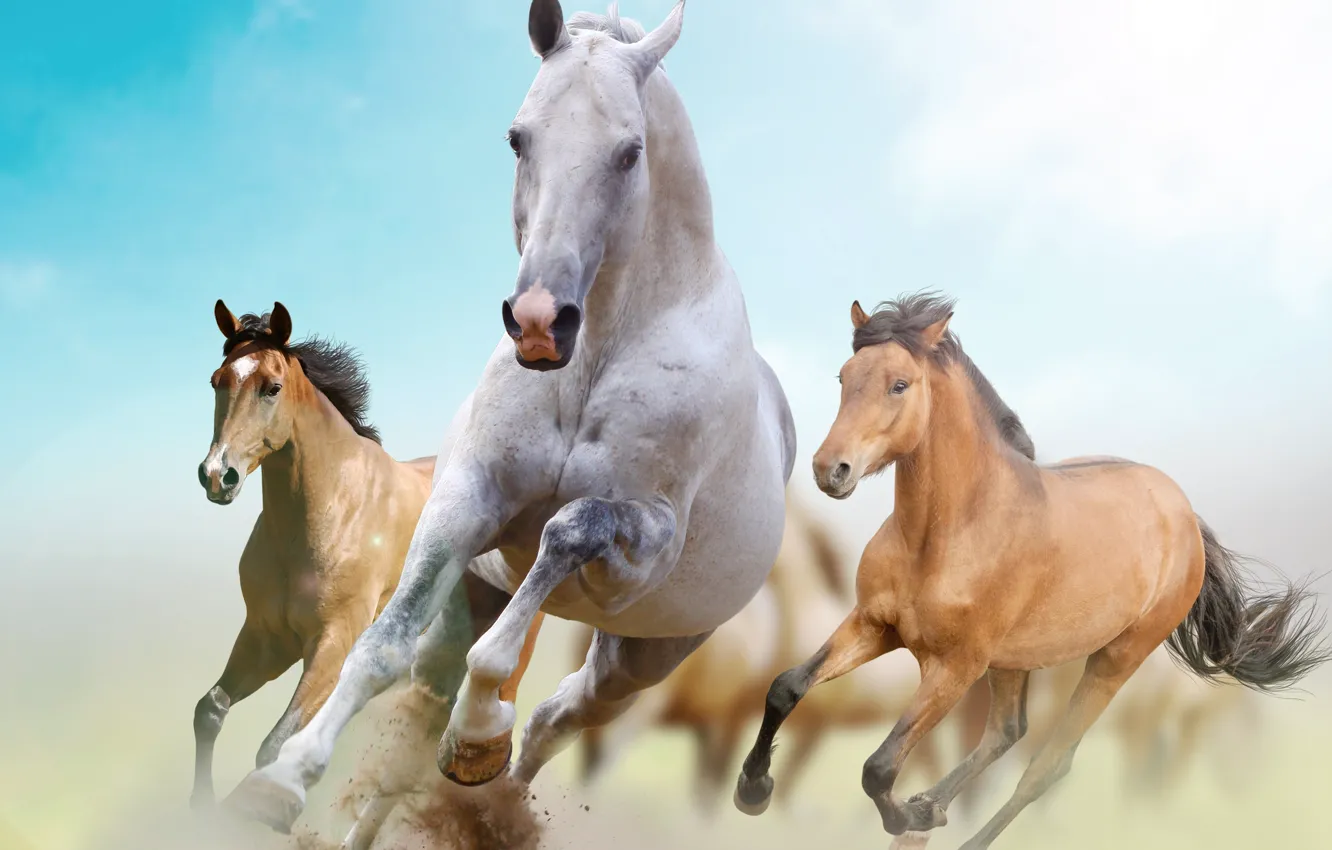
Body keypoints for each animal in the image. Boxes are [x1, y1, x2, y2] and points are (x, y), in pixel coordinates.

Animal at [193, 301, 543, 848]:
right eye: (217, 381)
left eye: (272, 387)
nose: (217, 476)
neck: (331, 510)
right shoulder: (266, 638)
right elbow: (210, 709)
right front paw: (199, 812)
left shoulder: (333, 644)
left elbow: (275, 742)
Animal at [225, 1, 796, 835]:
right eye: (518, 137)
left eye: (630, 152)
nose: (537, 323)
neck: (595, 358)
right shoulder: (468, 498)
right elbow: (381, 647)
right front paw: (283, 780)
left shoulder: (640, 548)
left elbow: (564, 536)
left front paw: (478, 731)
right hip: (477, 597)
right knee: (424, 721)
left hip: (639, 658)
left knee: (556, 720)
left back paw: (486, 776)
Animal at [734, 292, 1327, 849]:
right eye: (845, 376)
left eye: (899, 384)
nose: (829, 470)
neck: (944, 535)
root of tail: (1183, 515)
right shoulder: (875, 626)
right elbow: (786, 687)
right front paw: (752, 791)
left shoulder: (954, 667)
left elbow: (879, 766)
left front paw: (905, 816)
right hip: (1014, 660)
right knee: (1006, 733)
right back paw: (932, 805)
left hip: (1113, 661)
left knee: (1047, 765)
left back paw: (947, 825)